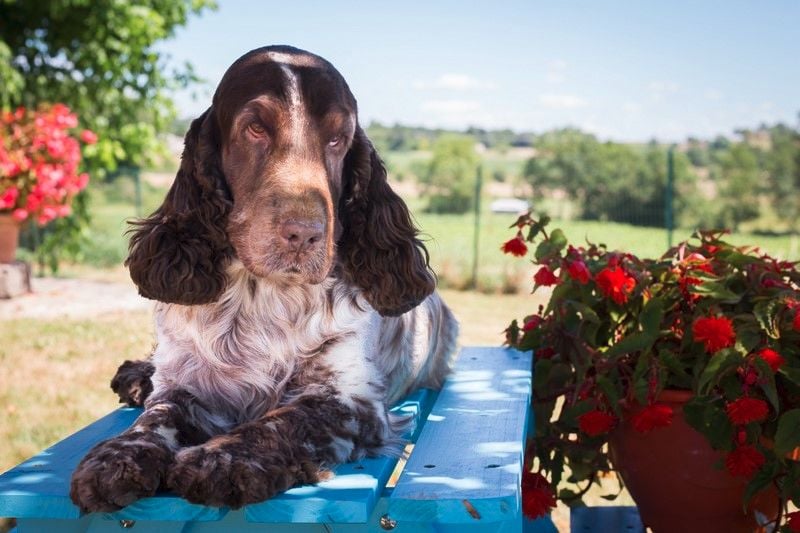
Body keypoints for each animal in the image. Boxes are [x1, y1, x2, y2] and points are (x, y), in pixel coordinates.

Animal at [70, 45, 456, 512]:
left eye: (336, 138)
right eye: (255, 128)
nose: (304, 234)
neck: (260, 295)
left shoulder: (350, 400)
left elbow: (283, 421)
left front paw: (221, 461)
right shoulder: (185, 383)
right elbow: (156, 417)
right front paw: (116, 458)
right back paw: (136, 376)